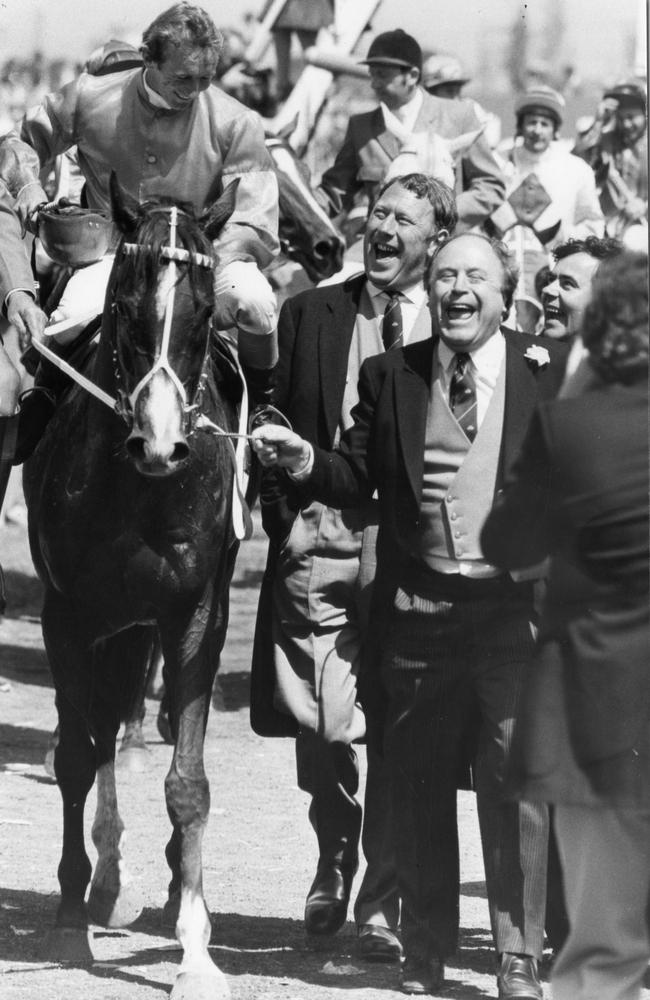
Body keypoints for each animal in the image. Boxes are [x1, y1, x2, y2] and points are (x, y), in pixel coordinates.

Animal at [24, 176, 243, 996]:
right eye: (125, 304)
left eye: (206, 313)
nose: (161, 443)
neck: (141, 490)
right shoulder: (69, 615)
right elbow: (75, 758)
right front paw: (69, 917)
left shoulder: (194, 617)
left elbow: (189, 784)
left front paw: (196, 949)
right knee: (101, 733)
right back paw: (104, 881)